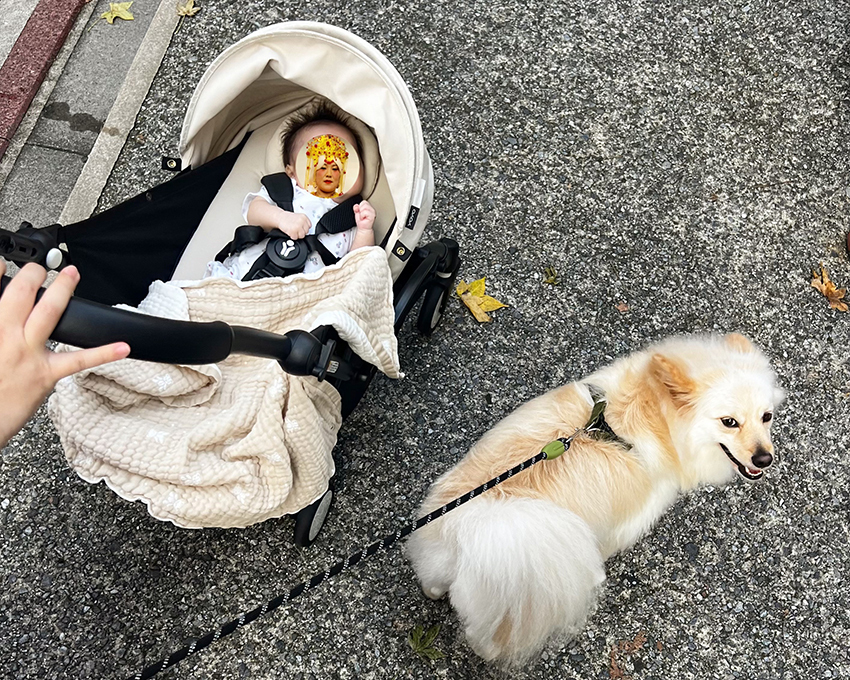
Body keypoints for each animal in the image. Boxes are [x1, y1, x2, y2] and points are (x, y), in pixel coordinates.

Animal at [404, 334, 780, 664]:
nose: (765, 459)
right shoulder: (633, 514)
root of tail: (468, 525)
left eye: (767, 416)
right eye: (729, 422)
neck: (649, 408)